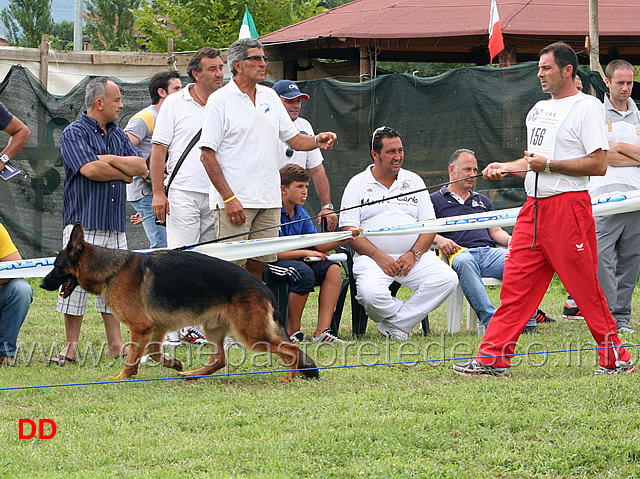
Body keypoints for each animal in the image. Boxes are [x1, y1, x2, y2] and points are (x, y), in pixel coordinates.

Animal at [40, 223, 320, 384]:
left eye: (56, 267)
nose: (41, 284)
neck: (111, 269)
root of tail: (262, 286)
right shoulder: (157, 328)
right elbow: (154, 353)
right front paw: (174, 363)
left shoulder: (140, 327)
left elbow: (132, 357)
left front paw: (122, 377)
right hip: (214, 328)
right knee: (220, 360)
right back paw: (190, 375)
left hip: (251, 334)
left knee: (291, 349)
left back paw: (289, 378)